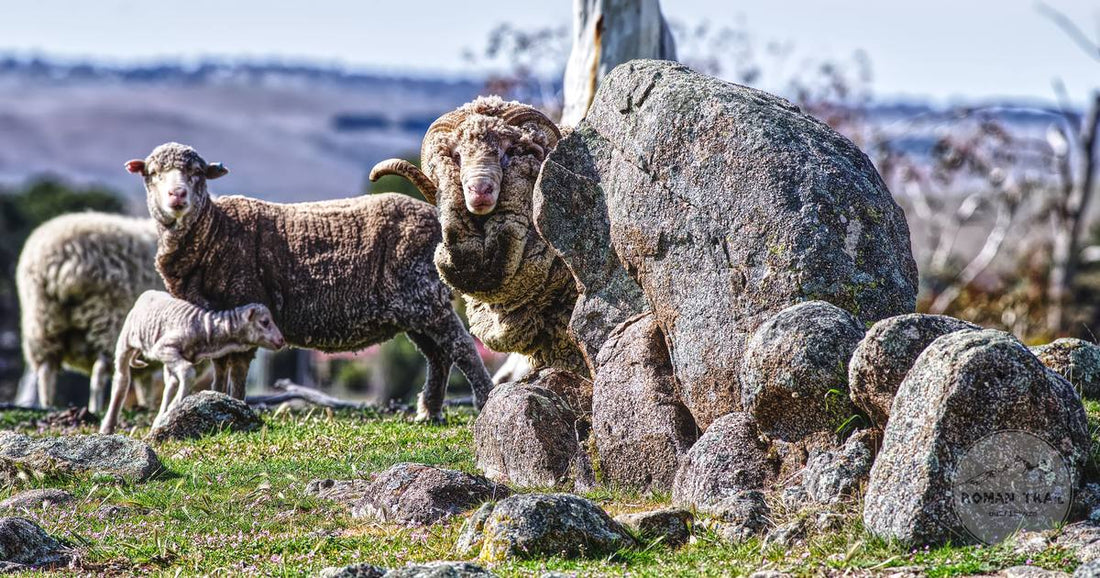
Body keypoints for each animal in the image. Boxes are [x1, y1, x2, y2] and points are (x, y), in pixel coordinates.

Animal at [16, 212, 163, 411]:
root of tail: (66, 259)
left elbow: (145, 384)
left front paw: (146, 405)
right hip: (108, 320)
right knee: (99, 372)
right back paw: (95, 407)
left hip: (42, 321)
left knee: (46, 370)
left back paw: (48, 406)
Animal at [100, 290, 285, 434]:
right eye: (265, 322)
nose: (281, 340)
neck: (205, 327)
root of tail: (147, 293)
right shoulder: (164, 346)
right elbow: (189, 372)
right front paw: (176, 406)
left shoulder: (185, 355)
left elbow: (182, 377)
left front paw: (171, 410)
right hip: (126, 341)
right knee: (121, 379)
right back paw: (107, 427)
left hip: (168, 361)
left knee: (170, 383)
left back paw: (159, 418)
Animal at [124, 142, 494, 420]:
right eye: (151, 174)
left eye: (197, 173)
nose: (177, 196)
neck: (215, 231)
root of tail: (435, 217)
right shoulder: (215, 319)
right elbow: (220, 365)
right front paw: (216, 400)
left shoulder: (246, 302)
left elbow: (238, 366)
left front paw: (238, 405)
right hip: (415, 307)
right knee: (438, 356)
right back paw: (429, 412)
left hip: (424, 294)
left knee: (460, 347)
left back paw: (484, 402)